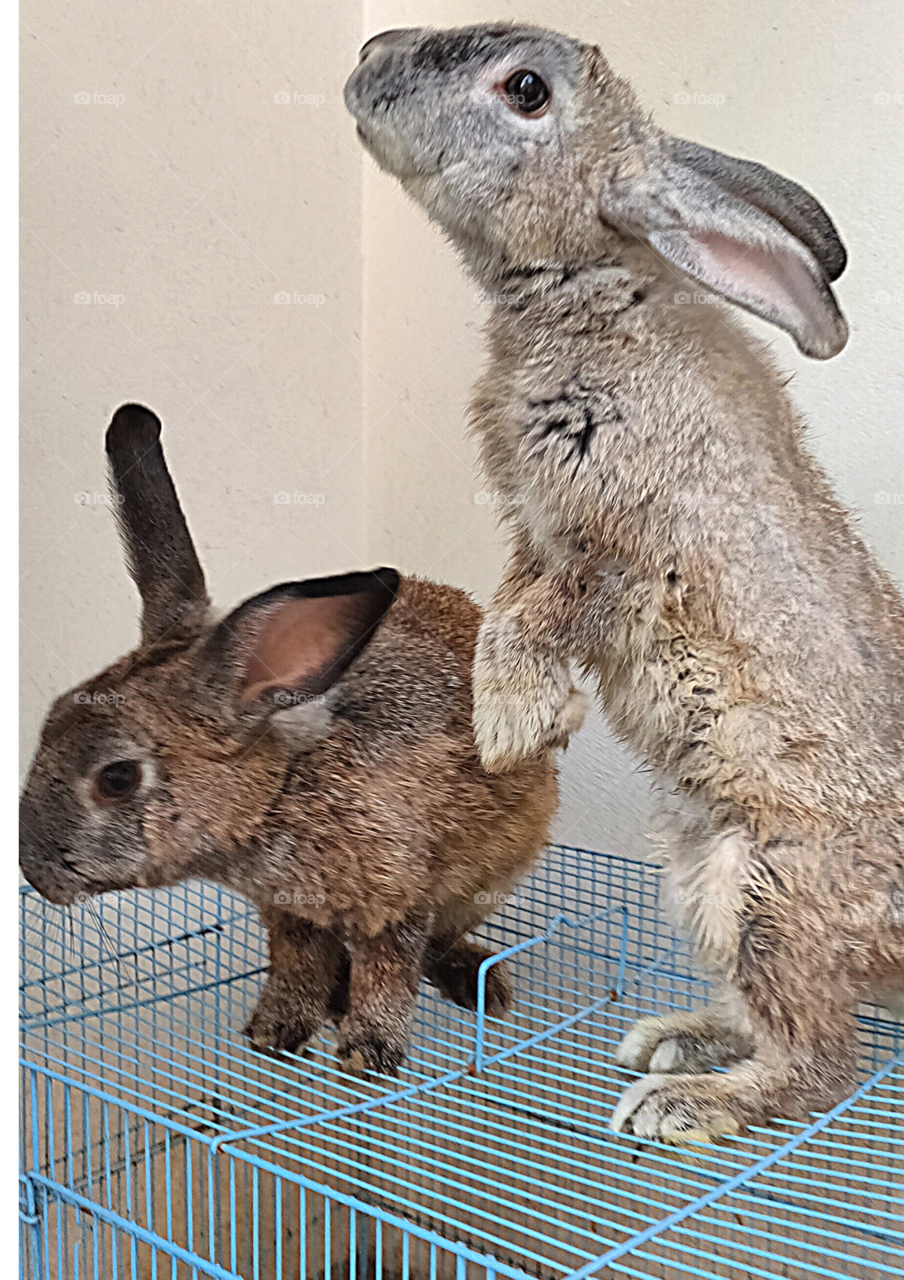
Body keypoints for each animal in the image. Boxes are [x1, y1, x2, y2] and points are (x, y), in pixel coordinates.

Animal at [19, 403, 569, 1076]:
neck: (279, 793)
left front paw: (367, 1053)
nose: (33, 874)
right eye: (51, 716)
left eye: (117, 779)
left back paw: (476, 984)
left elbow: (389, 969)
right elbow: (298, 965)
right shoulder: (290, 912)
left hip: (490, 876)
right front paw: (275, 1032)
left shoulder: (398, 892)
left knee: (441, 942)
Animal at [345, 24, 904, 1138]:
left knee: (827, 1061)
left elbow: (532, 622)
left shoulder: (624, 551)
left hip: (764, 888)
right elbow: (506, 612)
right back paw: (674, 1040)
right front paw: (533, 721)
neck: (592, 283)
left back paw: (678, 1102)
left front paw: (510, 726)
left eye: (525, 89)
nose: (367, 55)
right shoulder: (533, 534)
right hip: (697, 874)